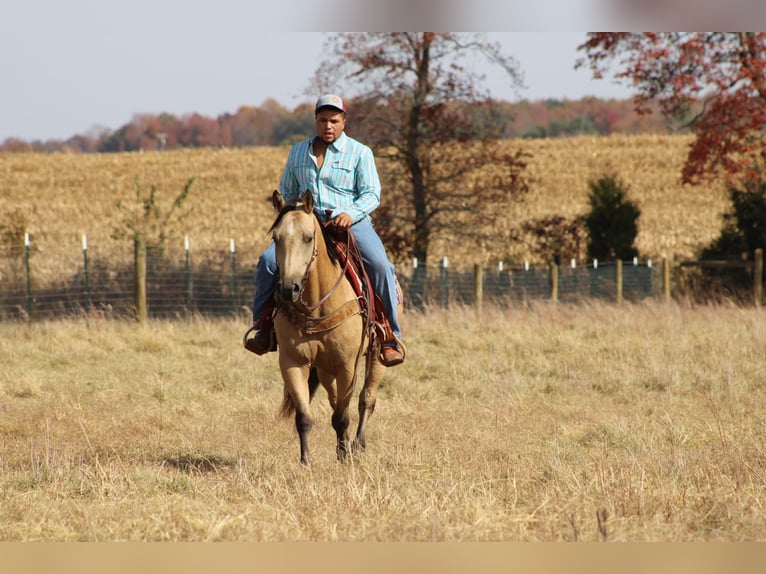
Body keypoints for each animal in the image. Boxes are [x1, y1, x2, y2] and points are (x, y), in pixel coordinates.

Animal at [266, 191, 396, 466]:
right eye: (275, 238)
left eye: (308, 237)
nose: (288, 288)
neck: (317, 306)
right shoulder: (293, 362)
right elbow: (305, 417)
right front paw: (306, 461)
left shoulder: (347, 365)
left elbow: (342, 415)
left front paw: (346, 457)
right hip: (325, 369)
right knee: (335, 399)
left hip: (377, 354)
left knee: (366, 400)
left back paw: (357, 445)